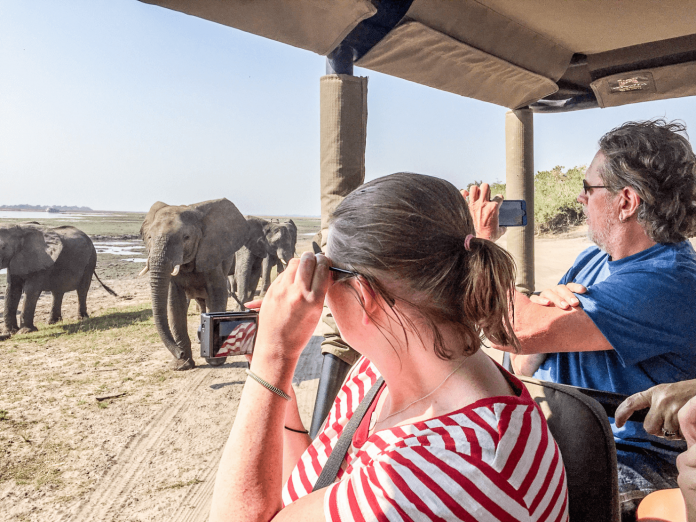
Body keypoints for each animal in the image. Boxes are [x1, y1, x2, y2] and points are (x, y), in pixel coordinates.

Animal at [140, 198, 249, 370]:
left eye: (186, 237)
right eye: (149, 237)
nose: (179, 352)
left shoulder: (212, 255)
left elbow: (217, 295)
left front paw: (215, 361)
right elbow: (175, 303)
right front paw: (182, 365)